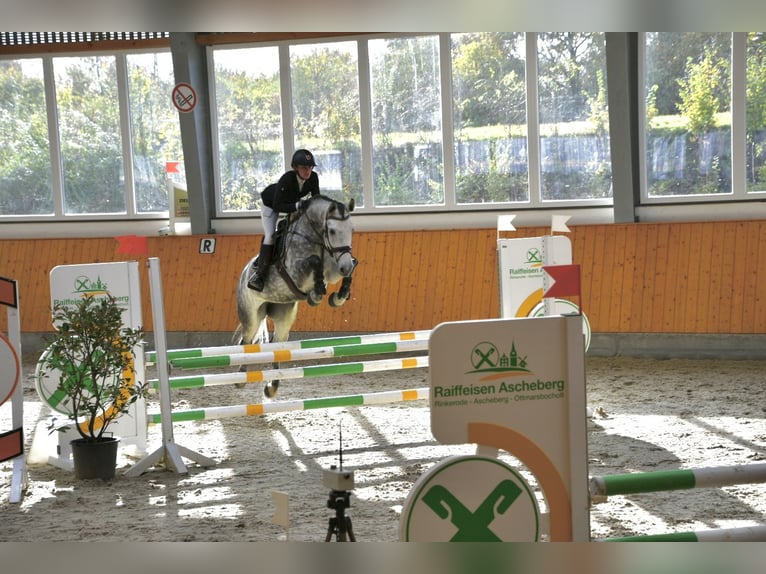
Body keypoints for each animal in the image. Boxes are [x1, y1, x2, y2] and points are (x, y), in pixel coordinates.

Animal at [232, 196, 358, 398]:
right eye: (332, 230)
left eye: (352, 229)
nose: (344, 266)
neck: (315, 238)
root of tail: (243, 274)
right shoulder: (296, 273)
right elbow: (313, 261)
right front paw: (317, 293)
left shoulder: (334, 267)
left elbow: (351, 265)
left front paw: (338, 296)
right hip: (251, 314)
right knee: (247, 341)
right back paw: (241, 378)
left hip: (284, 316)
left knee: (276, 346)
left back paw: (271, 387)